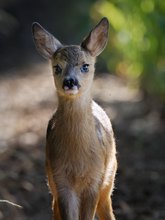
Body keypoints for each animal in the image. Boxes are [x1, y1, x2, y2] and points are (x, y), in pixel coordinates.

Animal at [32, 17, 116, 220]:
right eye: (57, 67)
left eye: (85, 65)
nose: (70, 81)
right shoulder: (60, 179)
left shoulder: (94, 180)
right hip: (51, 179)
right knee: (54, 208)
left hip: (109, 178)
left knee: (106, 209)